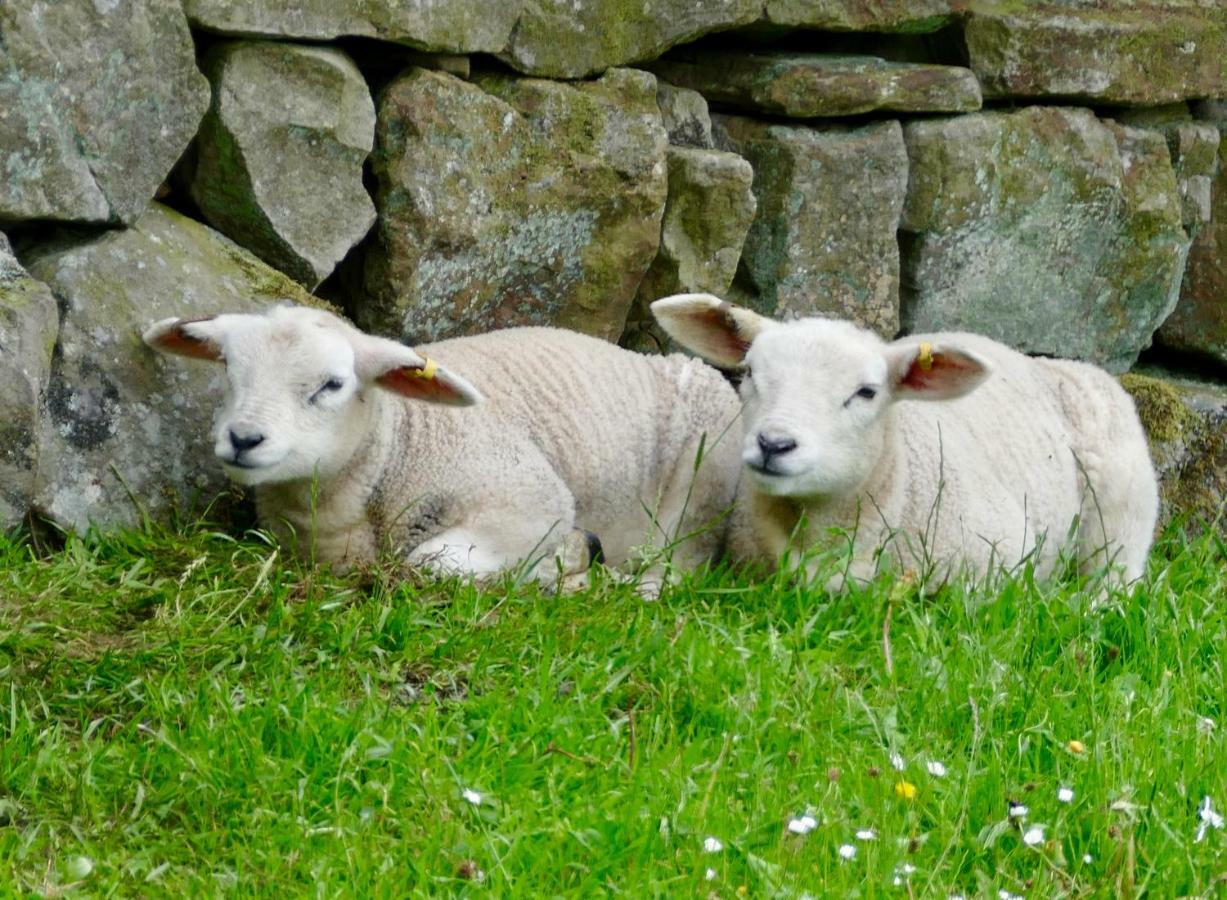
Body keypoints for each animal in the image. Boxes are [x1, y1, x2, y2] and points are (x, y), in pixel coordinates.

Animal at [143, 305, 736, 589]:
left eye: (332, 384)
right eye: (228, 367)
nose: (243, 438)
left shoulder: (532, 500)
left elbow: (432, 562)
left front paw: (560, 561)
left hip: (695, 503)